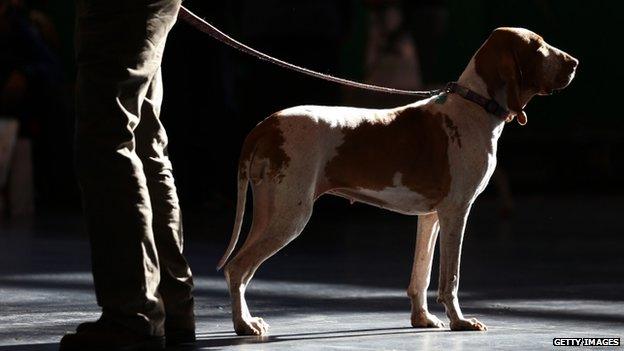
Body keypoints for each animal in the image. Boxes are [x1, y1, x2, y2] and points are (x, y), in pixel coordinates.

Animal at [218, 27, 576, 336]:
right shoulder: (456, 213)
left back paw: (247, 320)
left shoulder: (431, 216)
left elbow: (422, 275)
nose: (575, 62)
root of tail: (266, 125)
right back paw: (243, 325)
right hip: (290, 216)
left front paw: (423, 318)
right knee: (237, 268)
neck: (473, 106)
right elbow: (451, 278)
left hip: (271, 212)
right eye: (538, 46)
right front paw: (459, 321)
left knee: (242, 268)